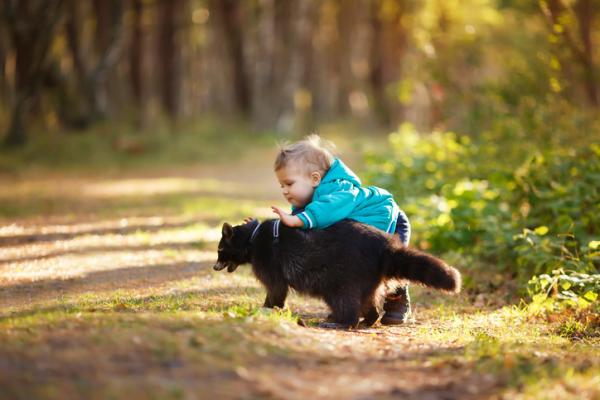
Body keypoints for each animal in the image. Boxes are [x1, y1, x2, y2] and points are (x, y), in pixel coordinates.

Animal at [213, 219, 462, 328]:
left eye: (220, 251)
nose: (214, 267)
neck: (252, 237)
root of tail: (385, 246)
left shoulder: (270, 261)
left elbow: (276, 288)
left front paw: (268, 307)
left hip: (345, 273)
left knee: (345, 299)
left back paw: (345, 322)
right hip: (366, 278)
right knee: (367, 300)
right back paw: (369, 319)